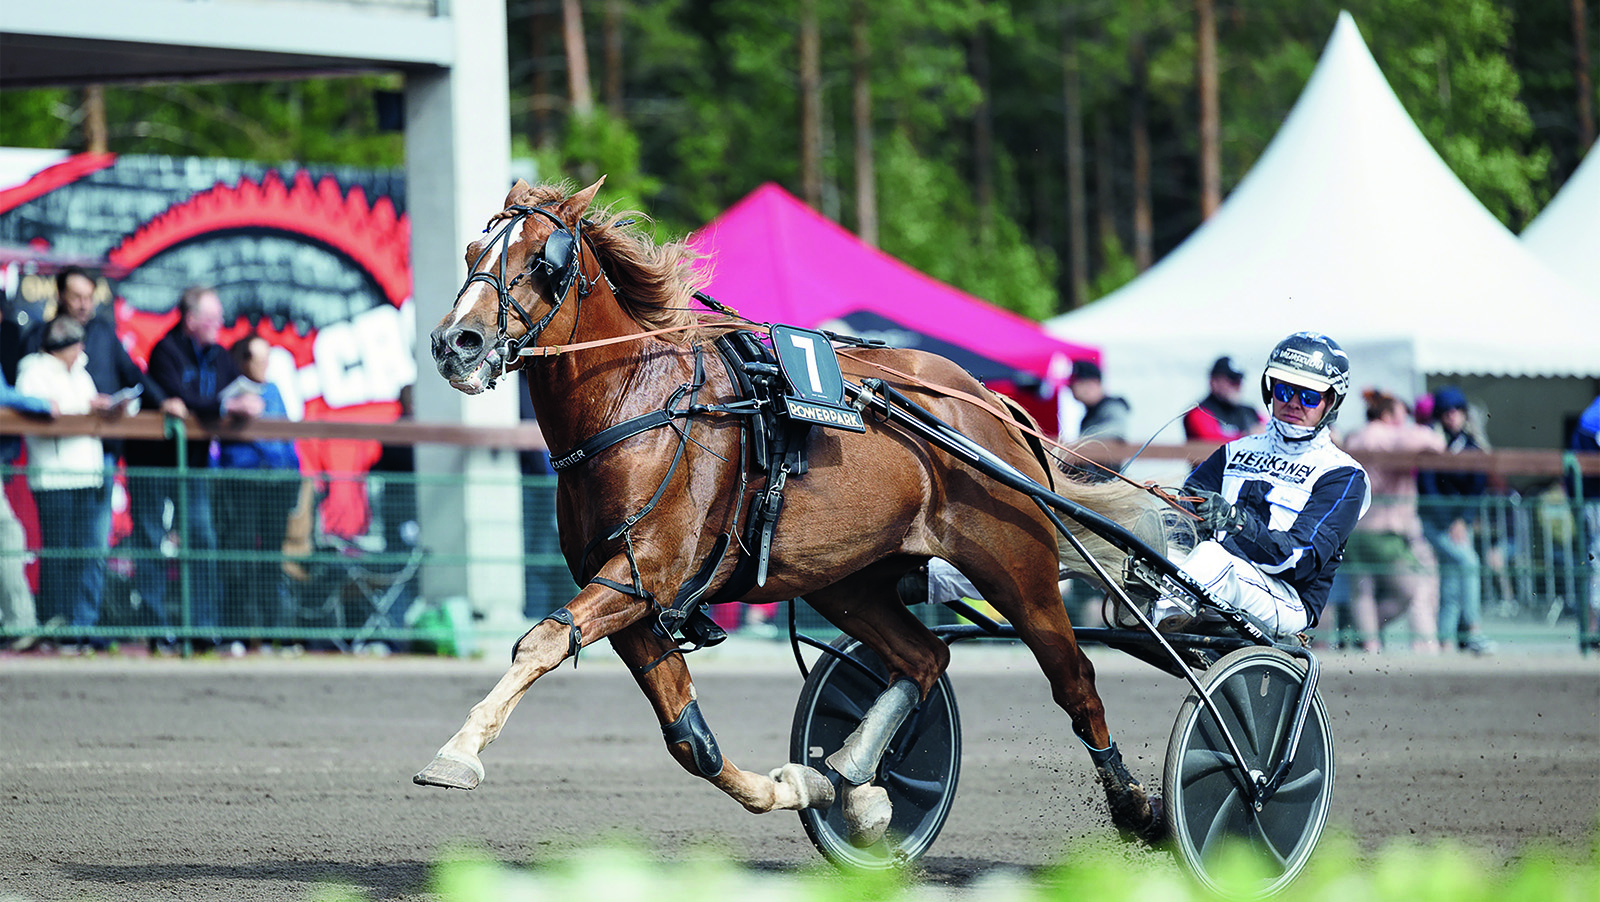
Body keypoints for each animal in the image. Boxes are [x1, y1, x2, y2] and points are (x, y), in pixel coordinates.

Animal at [419, 179, 1171, 850]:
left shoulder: (642, 577)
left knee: (1076, 682)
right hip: (847, 581)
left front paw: (457, 752)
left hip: (1017, 569)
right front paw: (800, 787)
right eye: (472, 251)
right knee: (923, 658)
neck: (641, 403)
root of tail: (986, 399)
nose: (456, 343)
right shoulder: (632, 598)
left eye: (540, 259)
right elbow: (690, 741)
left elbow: (541, 641)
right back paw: (856, 780)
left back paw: (1137, 805)